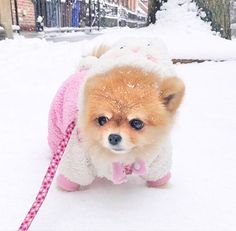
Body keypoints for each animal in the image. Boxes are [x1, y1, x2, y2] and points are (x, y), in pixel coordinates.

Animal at [48, 37, 184, 189]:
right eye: (102, 120)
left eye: (137, 123)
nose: (113, 137)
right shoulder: (78, 158)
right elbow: (74, 176)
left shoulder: (157, 160)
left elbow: (158, 175)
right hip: (56, 128)